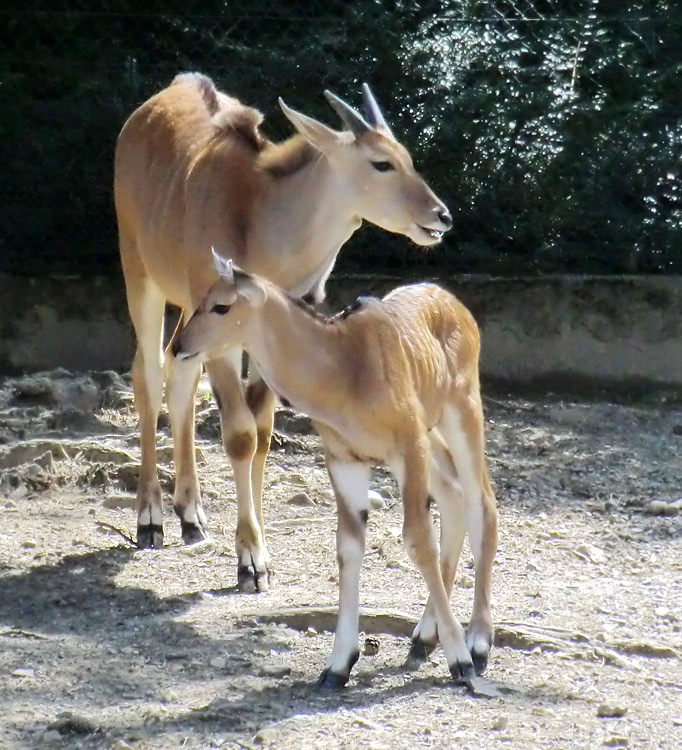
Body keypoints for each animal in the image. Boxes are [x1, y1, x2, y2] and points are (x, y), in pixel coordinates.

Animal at [113, 73, 448, 596]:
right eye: (381, 163)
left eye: (408, 157)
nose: (441, 216)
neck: (259, 215)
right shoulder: (226, 338)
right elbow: (240, 436)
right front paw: (250, 560)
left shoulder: (266, 337)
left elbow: (264, 432)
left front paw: (260, 545)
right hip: (141, 276)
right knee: (147, 373)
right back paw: (150, 516)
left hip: (190, 312)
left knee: (178, 371)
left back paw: (190, 513)